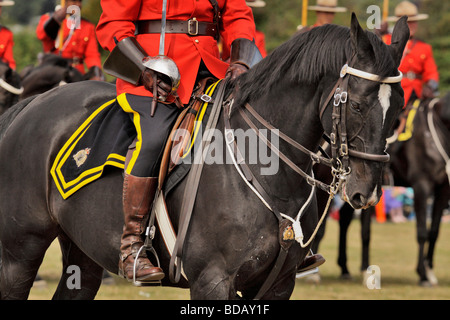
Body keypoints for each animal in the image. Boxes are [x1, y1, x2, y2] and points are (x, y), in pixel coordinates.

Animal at [0, 14, 408, 300]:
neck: (267, 168)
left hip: (83, 254)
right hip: (20, 253)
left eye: (398, 110)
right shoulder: (212, 281)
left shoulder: (278, 284)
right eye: (357, 104)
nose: (367, 192)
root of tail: (30, 106)